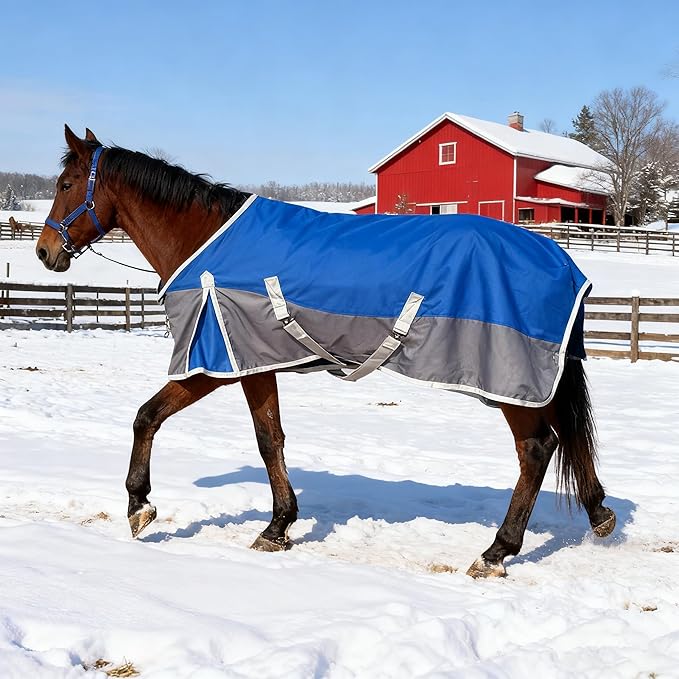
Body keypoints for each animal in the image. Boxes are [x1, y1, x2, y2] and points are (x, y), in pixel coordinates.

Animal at [36, 126, 616, 578]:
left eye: (66, 185)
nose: (44, 252)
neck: (204, 240)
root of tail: (560, 260)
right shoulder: (256, 364)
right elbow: (269, 439)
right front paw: (277, 525)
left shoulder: (216, 365)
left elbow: (150, 417)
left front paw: (139, 504)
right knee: (566, 436)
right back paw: (598, 513)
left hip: (513, 383)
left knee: (537, 449)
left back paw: (497, 551)